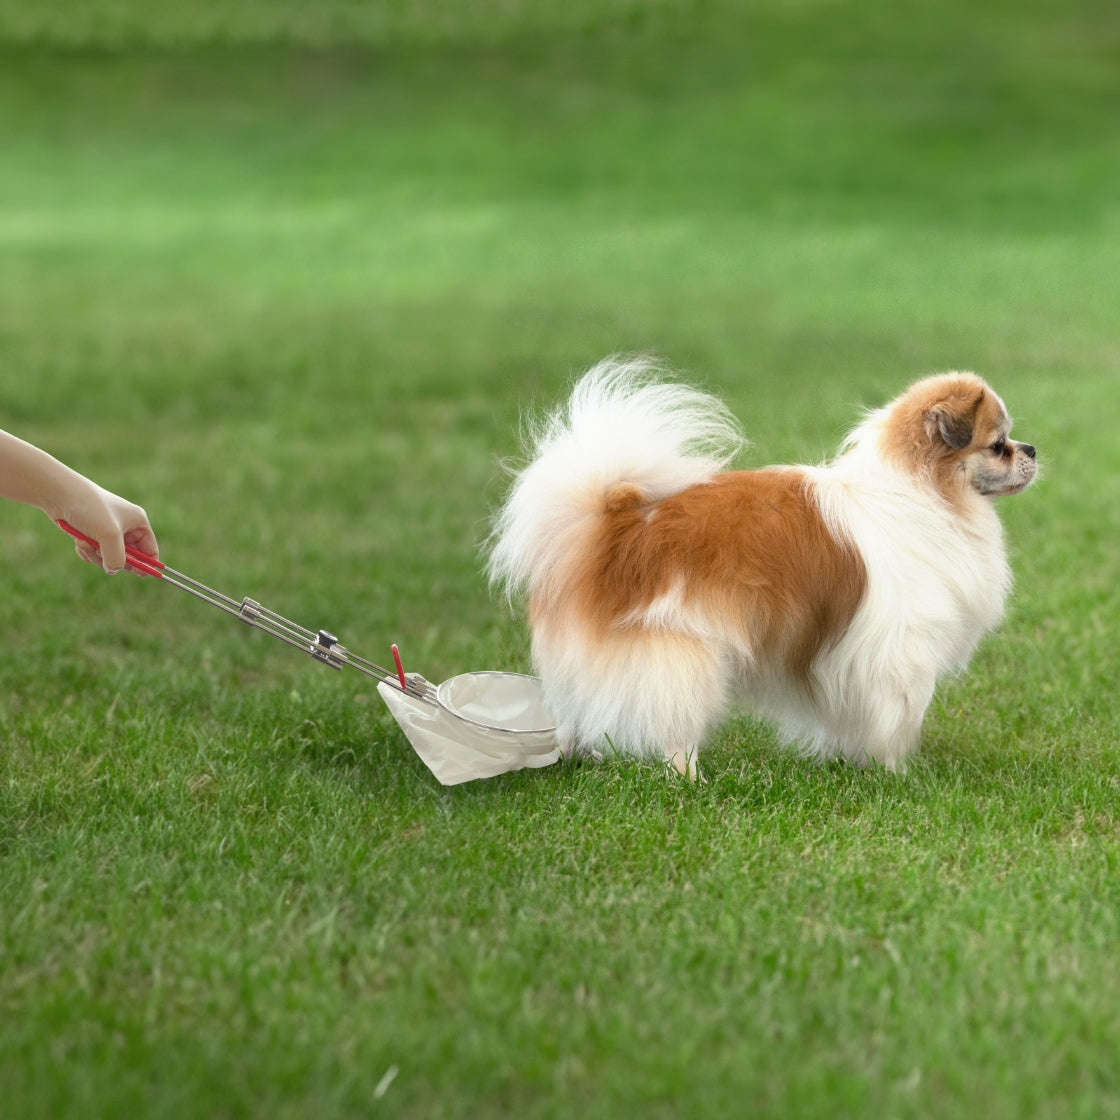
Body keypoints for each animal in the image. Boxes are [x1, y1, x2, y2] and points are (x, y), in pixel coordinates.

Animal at [490, 360, 1039, 779]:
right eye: (999, 445)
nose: (1031, 450)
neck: (926, 494)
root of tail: (623, 524)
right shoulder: (900, 655)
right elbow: (896, 719)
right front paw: (897, 774)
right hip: (684, 652)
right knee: (674, 727)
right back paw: (689, 778)